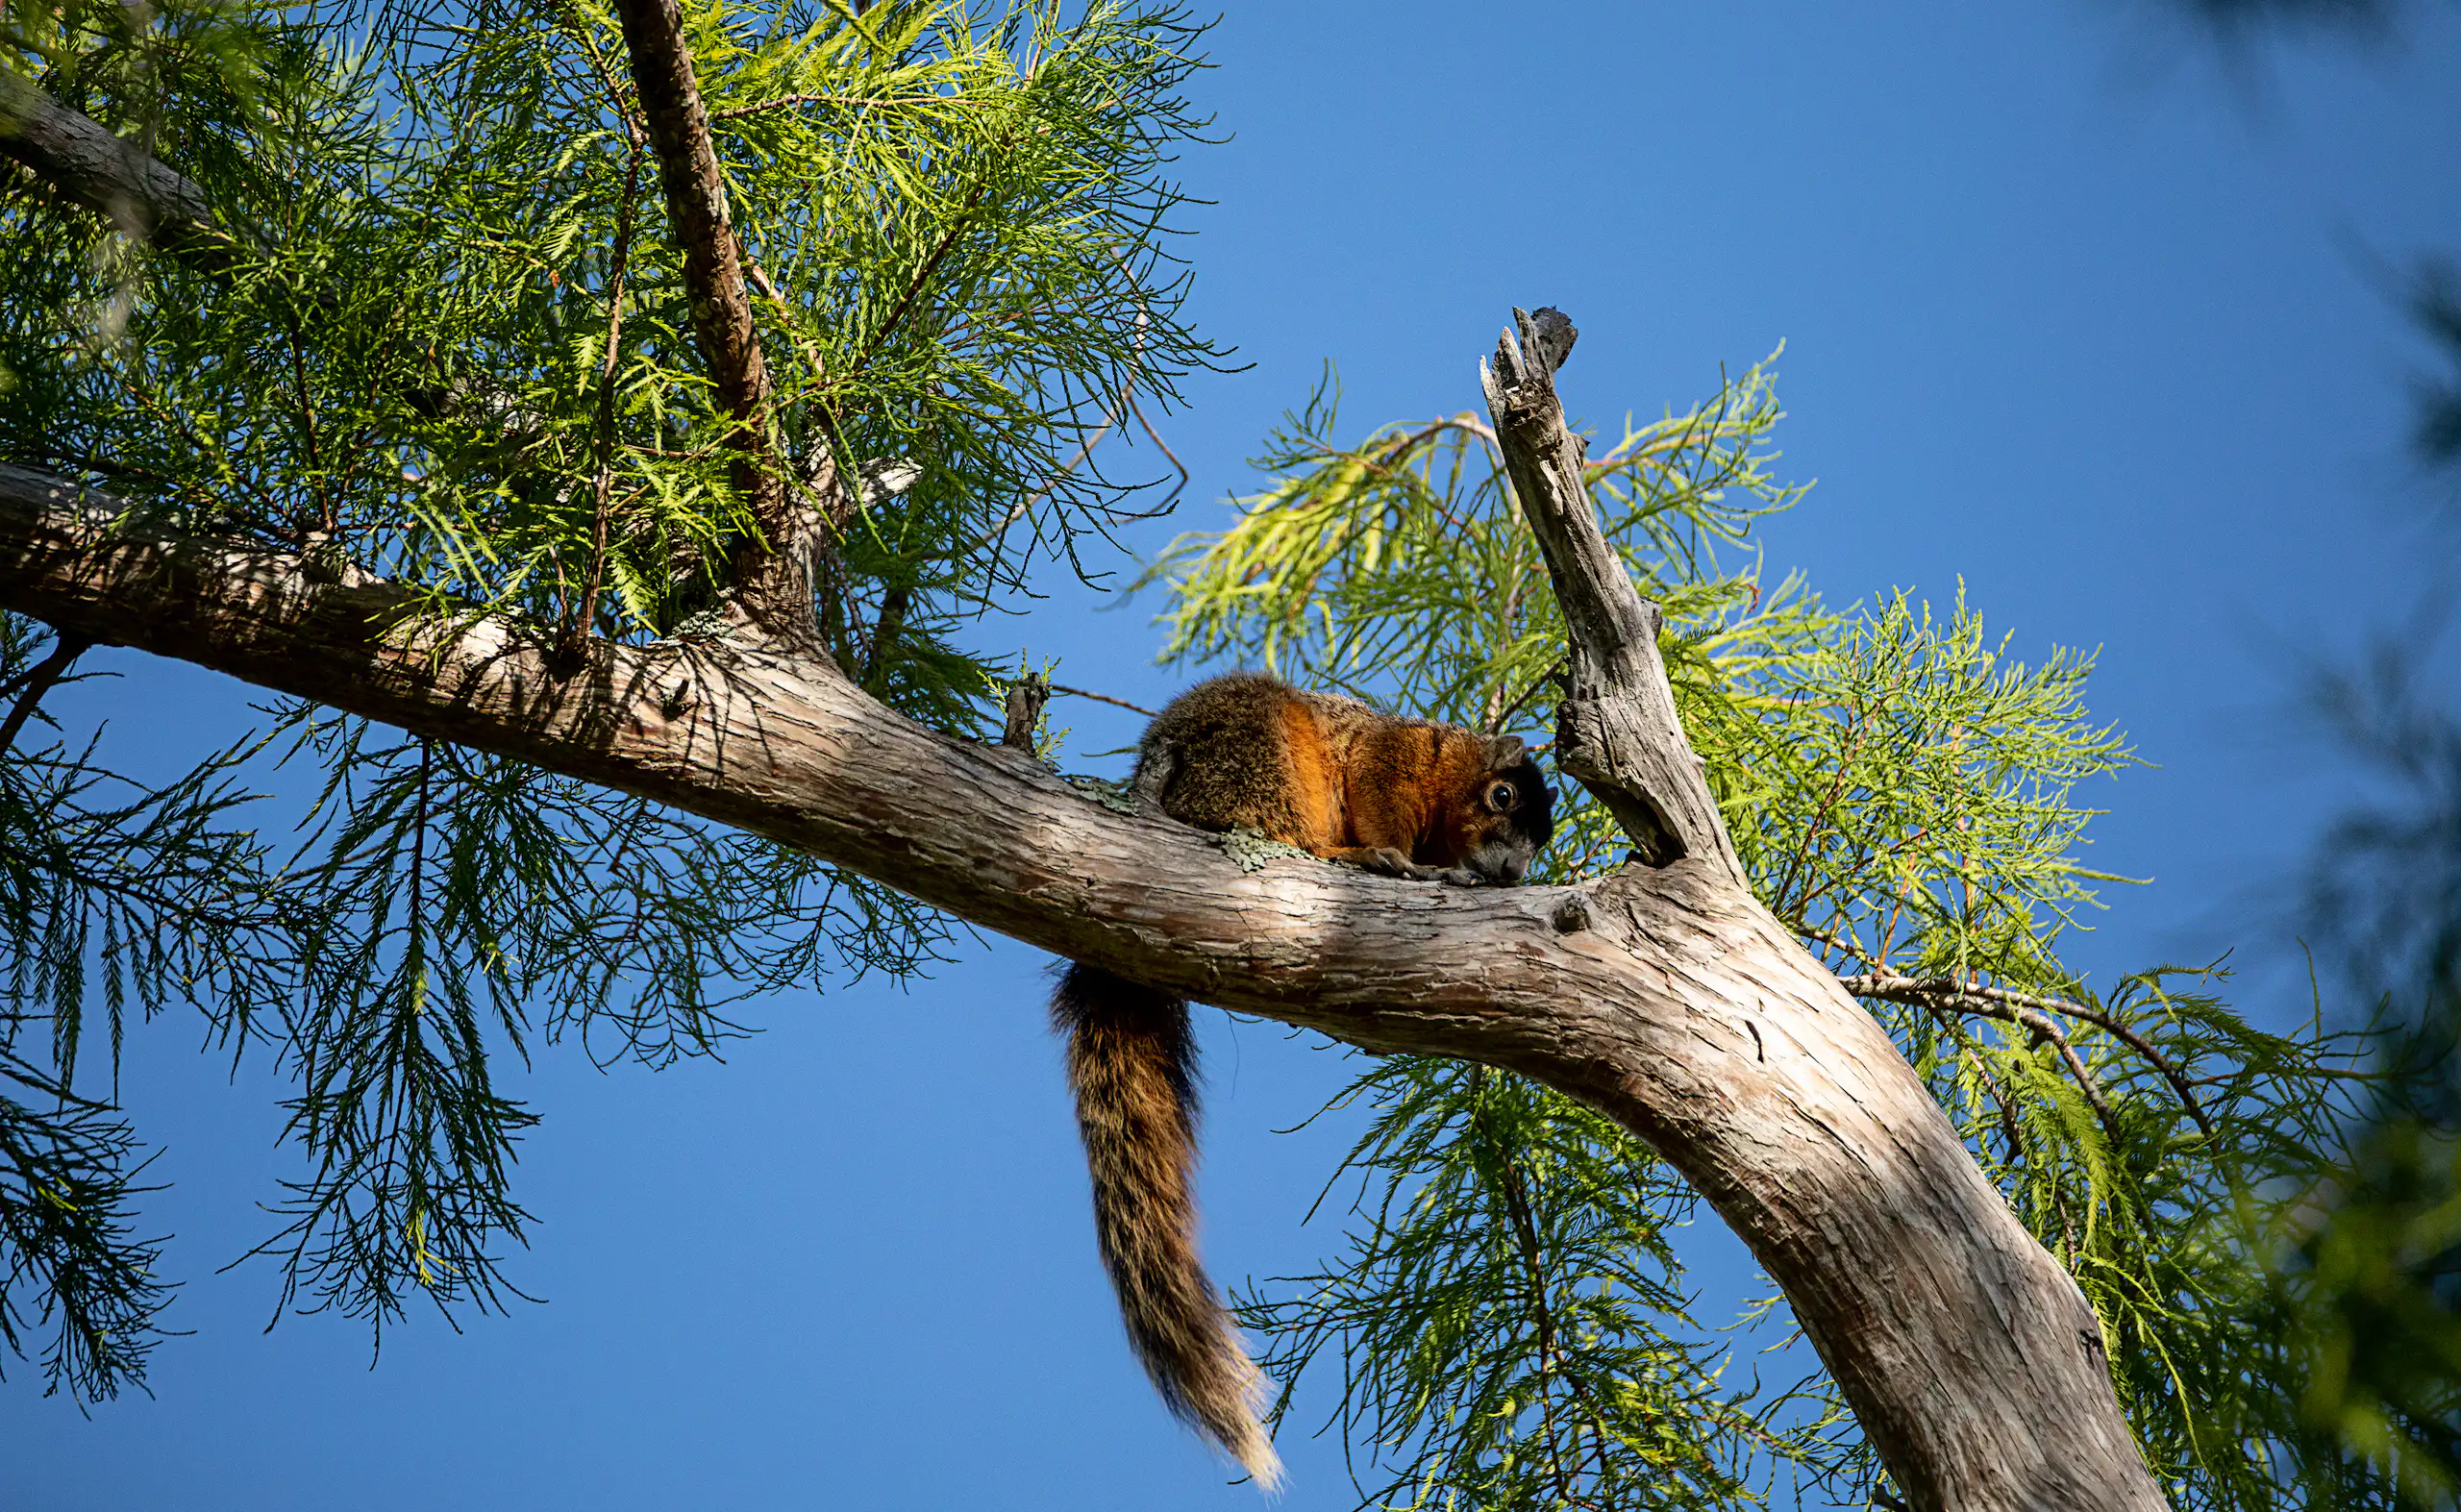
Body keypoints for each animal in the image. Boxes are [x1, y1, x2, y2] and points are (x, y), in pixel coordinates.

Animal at [1050, 672, 1556, 1488]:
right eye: (1503, 795)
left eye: (1542, 839)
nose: (1512, 873)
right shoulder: (1390, 757)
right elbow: (1379, 790)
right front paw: (1402, 855)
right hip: (1259, 753)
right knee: (1279, 819)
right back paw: (1355, 855)